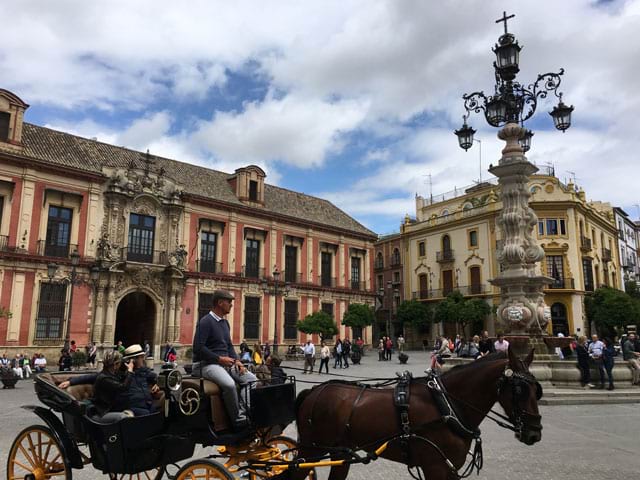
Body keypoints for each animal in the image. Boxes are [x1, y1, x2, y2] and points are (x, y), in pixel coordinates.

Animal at [288, 346, 544, 480]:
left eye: (537, 390)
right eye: (519, 390)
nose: (534, 433)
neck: (447, 405)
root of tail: (314, 390)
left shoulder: (450, 468)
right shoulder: (435, 467)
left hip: (339, 453)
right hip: (311, 450)